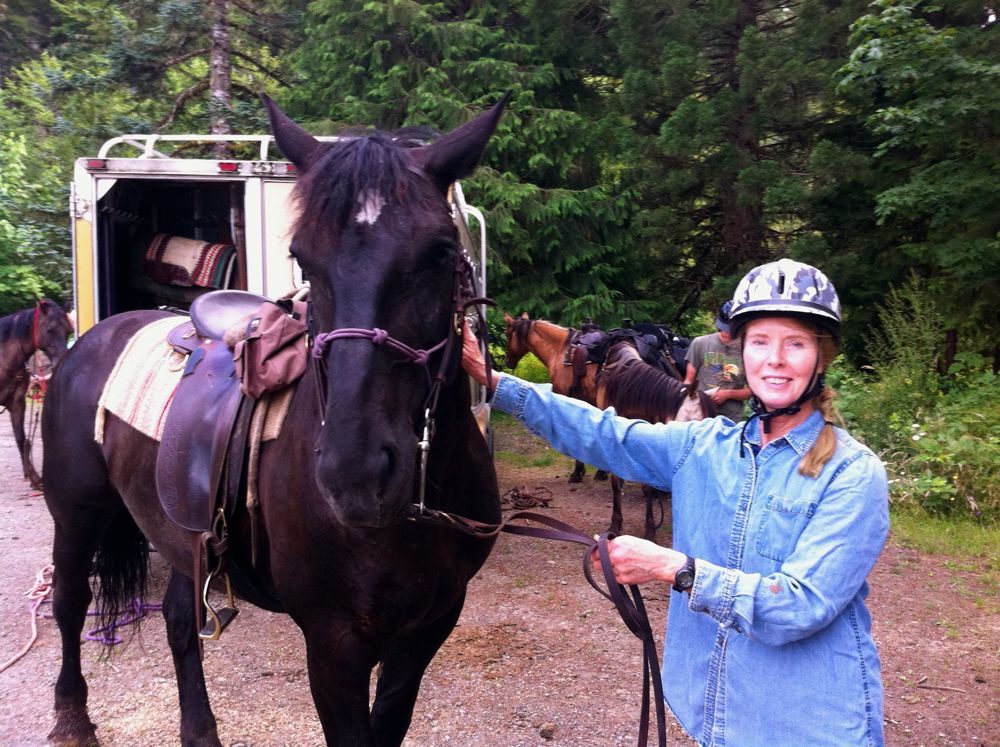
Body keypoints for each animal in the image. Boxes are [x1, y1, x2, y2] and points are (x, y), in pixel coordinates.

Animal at [0, 299, 72, 489]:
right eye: (50, 329)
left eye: (68, 331)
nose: (61, 361)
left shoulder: (17, 403)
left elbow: (22, 439)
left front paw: (33, 477)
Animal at [41, 93, 506, 747]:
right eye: (302, 259)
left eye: (440, 252)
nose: (354, 477)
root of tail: (99, 334)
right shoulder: (334, 643)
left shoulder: (430, 626)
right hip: (77, 514)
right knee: (69, 603)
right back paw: (71, 717)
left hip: (180, 532)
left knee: (180, 620)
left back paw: (199, 731)